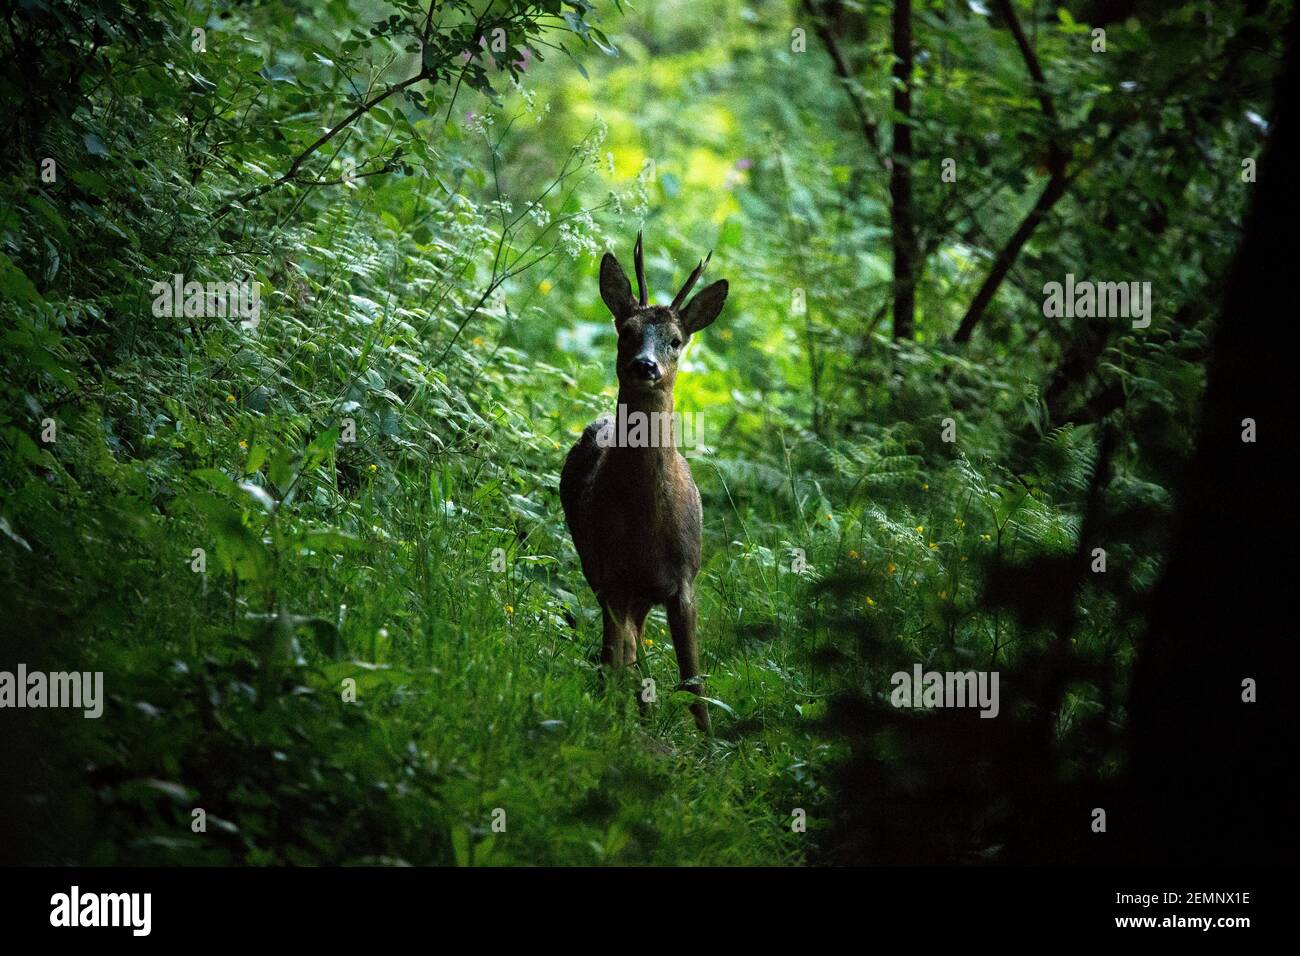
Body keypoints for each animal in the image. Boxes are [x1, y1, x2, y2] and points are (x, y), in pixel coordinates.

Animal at [560, 232, 729, 734]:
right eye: (626, 331)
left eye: (675, 341)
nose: (645, 365)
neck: (646, 525)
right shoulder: (612, 574)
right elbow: (622, 656)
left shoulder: (685, 579)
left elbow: (693, 679)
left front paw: (711, 741)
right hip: (594, 565)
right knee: (622, 650)